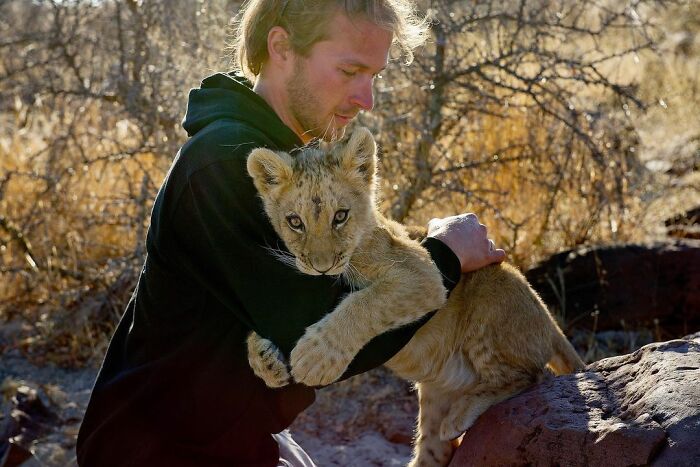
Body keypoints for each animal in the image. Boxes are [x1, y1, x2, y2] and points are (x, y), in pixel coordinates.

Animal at [245, 127, 584, 467]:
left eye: (340, 216)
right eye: (295, 222)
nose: (321, 267)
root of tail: (549, 320)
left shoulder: (424, 273)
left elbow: (365, 303)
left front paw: (315, 357)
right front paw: (265, 362)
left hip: (492, 301)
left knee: (531, 376)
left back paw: (460, 415)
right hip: (435, 396)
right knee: (436, 450)